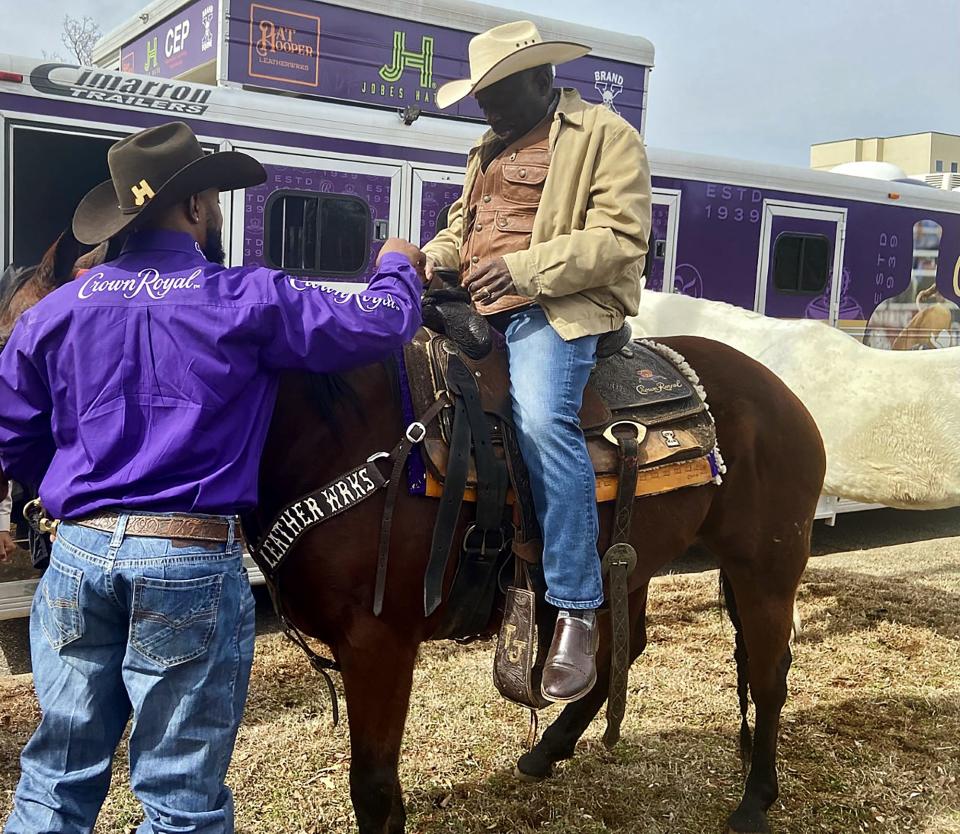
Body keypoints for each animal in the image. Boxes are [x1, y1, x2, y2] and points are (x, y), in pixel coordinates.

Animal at [1, 231, 824, 832]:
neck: (334, 435)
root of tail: (782, 393)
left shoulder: (379, 644)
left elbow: (374, 790)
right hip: (633, 558)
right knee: (618, 647)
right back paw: (549, 749)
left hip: (766, 569)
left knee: (769, 673)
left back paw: (755, 802)